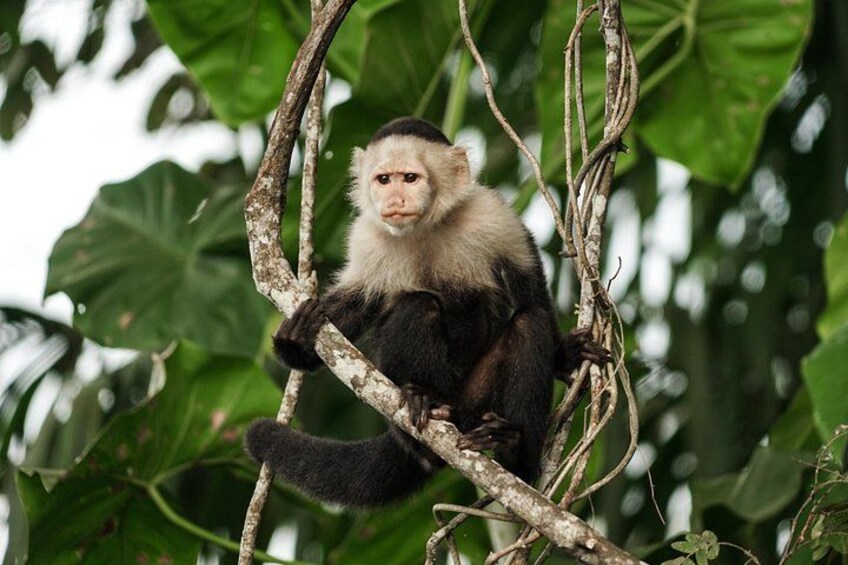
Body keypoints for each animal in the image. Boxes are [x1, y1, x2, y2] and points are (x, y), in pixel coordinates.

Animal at [244, 117, 608, 508]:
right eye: (384, 179)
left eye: (410, 178)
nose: (395, 199)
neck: (424, 228)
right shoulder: (366, 239)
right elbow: (350, 311)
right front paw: (295, 341)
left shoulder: (492, 215)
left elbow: (531, 294)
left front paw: (565, 355)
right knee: (418, 306)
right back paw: (421, 412)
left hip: (475, 404)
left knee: (528, 324)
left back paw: (514, 455)